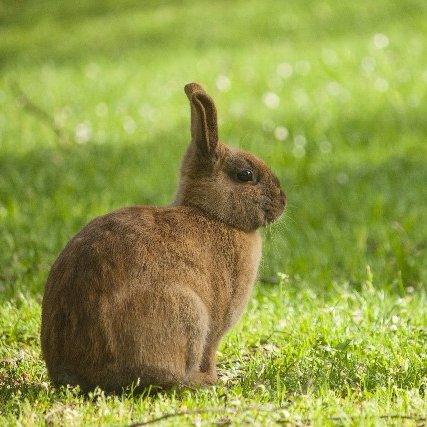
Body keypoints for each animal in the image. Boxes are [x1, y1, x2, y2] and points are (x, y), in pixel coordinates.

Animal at [41, 82, 288, 392]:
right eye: (245, 175)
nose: (283, 202)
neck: (213, 215)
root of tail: (75, 372)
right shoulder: (217, 320)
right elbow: (210, 350)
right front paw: (214, 376)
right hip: (187, 314)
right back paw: (200, 381)